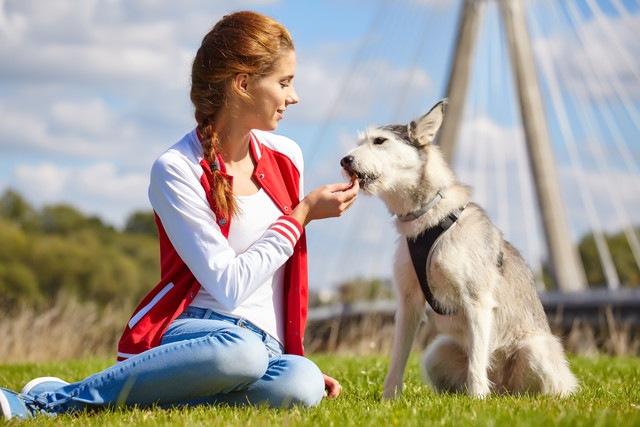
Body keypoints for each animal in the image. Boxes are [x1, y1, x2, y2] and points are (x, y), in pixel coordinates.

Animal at [342, 100, 576, 402]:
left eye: (379, 141)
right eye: (360, 142)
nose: (344, 160)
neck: (427, 216)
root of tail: (502, 389)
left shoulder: (477, 301)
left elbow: (477, 360)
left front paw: (477, 401)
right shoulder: (408, 303)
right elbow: (397, 359)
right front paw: (389, 399)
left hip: (535, 351)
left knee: (545, 390)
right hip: (436, 352)